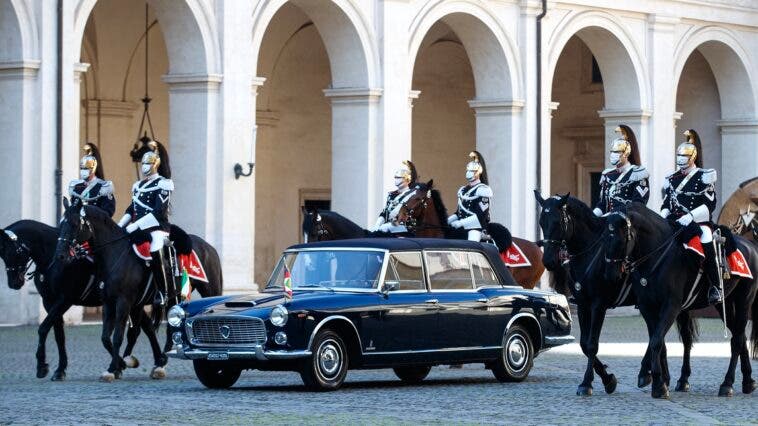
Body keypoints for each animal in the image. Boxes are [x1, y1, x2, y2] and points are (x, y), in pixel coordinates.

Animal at [536, 193, 696, 396]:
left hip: (678, 305)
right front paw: (607, 378)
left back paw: (680, 379)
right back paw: (655, 375)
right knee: (659, 337)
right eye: (541, 222)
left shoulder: (598, 305)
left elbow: (591, 344)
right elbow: (584, 344)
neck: (589, 252)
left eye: (558, 222)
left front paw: (588, 383)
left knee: (685, 337)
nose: (548, 261)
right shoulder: (582, 304)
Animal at [604, 201, 758, 398]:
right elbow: (657, 341)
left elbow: (656, 341)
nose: (610, 274)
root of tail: (751, 246)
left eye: (619, 236)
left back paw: (727, 384)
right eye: (604, 236)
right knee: (739, 335)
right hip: (725, 304)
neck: (657, 255)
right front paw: (659, 380)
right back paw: (748, 381)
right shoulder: (648, 307)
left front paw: (659, 385)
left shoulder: (672, 306)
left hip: (744, 300)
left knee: (737, 339)